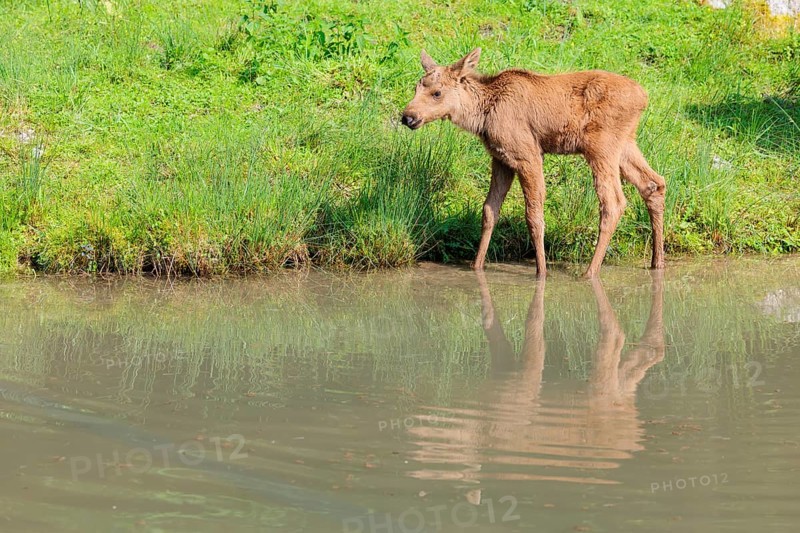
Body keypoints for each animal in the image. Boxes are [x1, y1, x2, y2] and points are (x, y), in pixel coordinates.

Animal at [401, 48, 667, 278]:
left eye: (437, 92)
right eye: (415, 87)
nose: (408, 117)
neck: (482, 116)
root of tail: (644, 98)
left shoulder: (528, 155)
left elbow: (534, 215)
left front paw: (542, 271)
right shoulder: (501, 159)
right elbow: (489, 210)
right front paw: (476, 266)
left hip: (601, 146)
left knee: (613, 201)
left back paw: (590, 272)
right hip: (626, 144)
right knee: (654, 183)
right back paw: (657, 262)